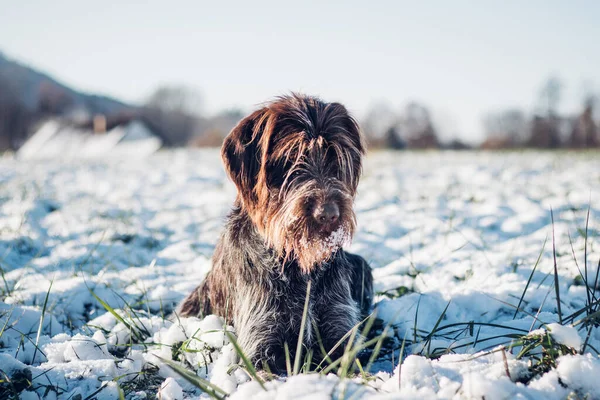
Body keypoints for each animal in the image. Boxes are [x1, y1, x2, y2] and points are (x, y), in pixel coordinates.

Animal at [178, 94, 372, 376]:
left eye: (335, 156)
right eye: (290, 157)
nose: (328, 214)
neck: (300, 269)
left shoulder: (341, 332)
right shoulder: (260, 346)